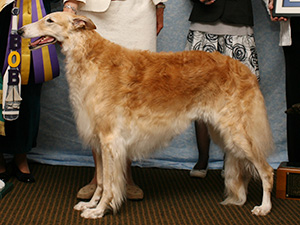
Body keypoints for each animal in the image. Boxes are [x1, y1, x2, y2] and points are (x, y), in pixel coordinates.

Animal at [17, 11, 274, 218]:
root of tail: (244, 69)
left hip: (237, 132)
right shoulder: (98, 138)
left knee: (267, 170)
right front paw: (90, 204)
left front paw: (99, 211)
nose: (19, 30)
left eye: (49, 20)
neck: (90, 56)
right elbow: (100, 181)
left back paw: (264, 207)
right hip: (222, 132)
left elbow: (109, 183)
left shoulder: (110, 139)